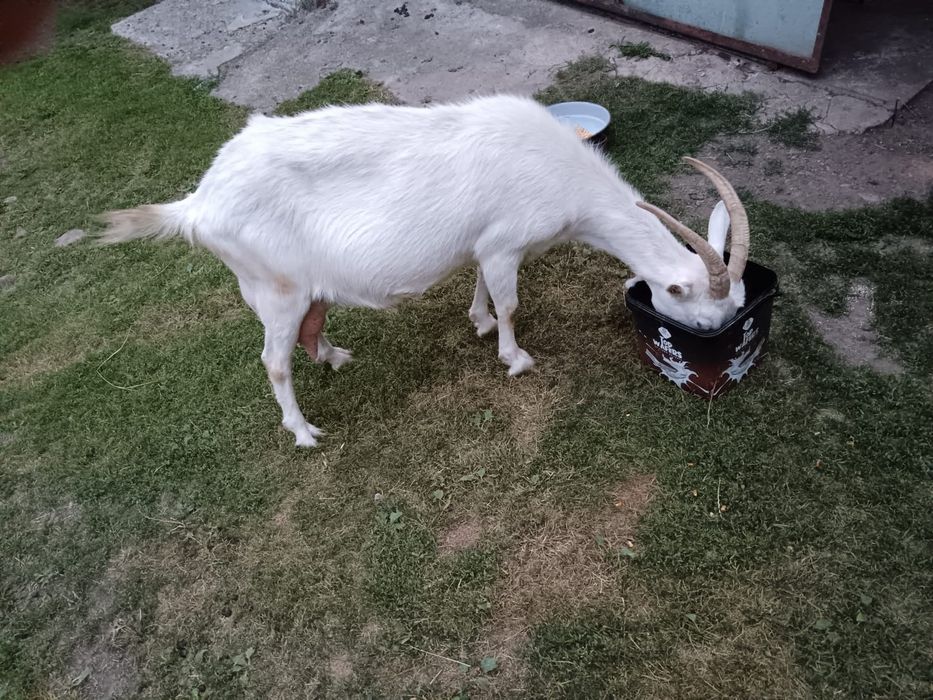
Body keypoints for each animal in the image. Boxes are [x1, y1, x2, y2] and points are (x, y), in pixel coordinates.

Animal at [97, 95, 750, 447]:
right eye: (701, 311)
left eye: (735, 305)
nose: (723, 348)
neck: (563, 173)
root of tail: (198, 204)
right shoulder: (506, 243)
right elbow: (513, 303)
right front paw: (515, 357)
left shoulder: (488, 245)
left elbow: (483, 285)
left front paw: (479, 322)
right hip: (276, 288)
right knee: (274, 360)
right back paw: (304, 431)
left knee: (310, 327)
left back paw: (334, 356)